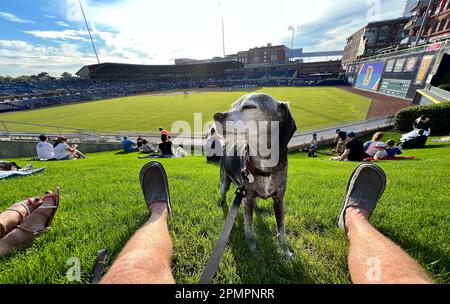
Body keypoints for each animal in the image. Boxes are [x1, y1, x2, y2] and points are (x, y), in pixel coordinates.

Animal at [213, 92, 298, 256]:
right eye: (233, 105)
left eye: (249, 106)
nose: (216, 115)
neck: (263, 164)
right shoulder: (247, 199)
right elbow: (249, 229)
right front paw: (253, 251)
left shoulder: (279, 200)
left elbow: (282, 230)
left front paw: (285, 251)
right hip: (224, 182)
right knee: (223, 193)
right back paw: (222, 203)